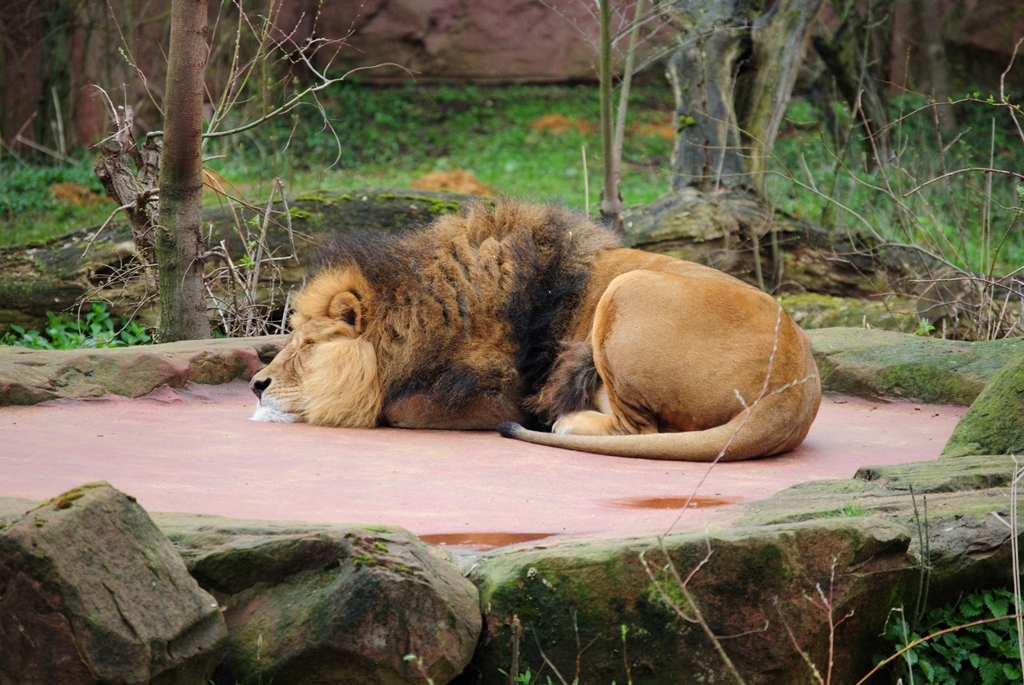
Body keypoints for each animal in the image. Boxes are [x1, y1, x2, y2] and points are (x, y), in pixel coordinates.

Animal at [251, 200, 819, 462]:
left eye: (307, 343)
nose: (256, 385)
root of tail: (798, 387)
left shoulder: (496, 394)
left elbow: (395, 407)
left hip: (628, 290)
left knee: (640, 431)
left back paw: (567, 422)